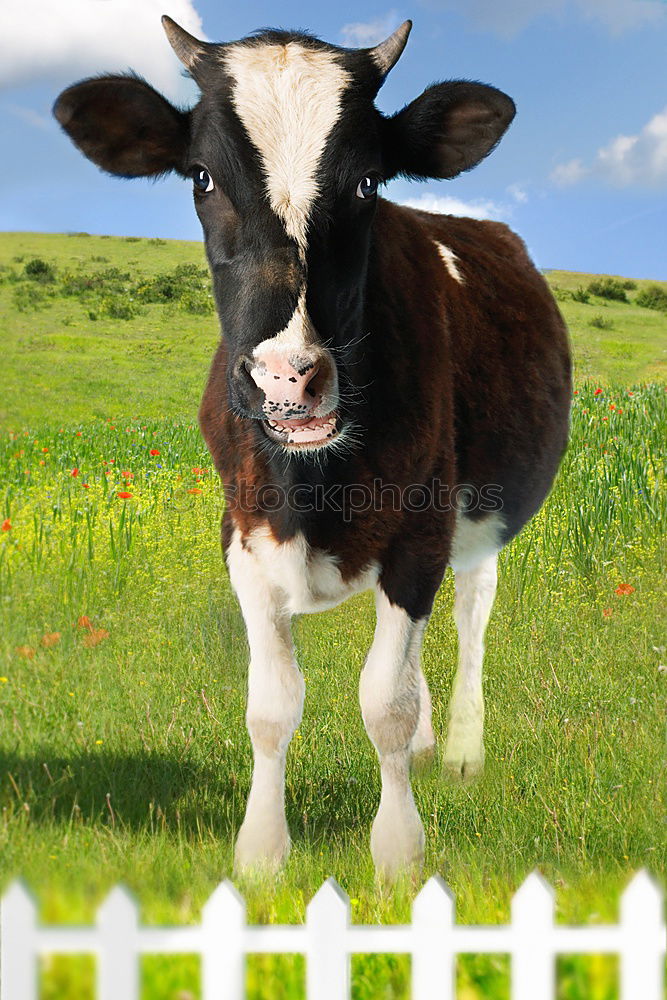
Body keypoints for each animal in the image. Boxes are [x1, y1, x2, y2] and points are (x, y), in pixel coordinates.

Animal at [54, 13, 572, 876]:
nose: (287, 378)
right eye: (200, 176)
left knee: (471, 613)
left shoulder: (421, 529)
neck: (312, 488)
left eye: (367, 182)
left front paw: (397, 856)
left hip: (481, 518)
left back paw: (459, 750)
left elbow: (384, 701)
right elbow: (272, 706)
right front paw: (261, 854)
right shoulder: (241, 533)